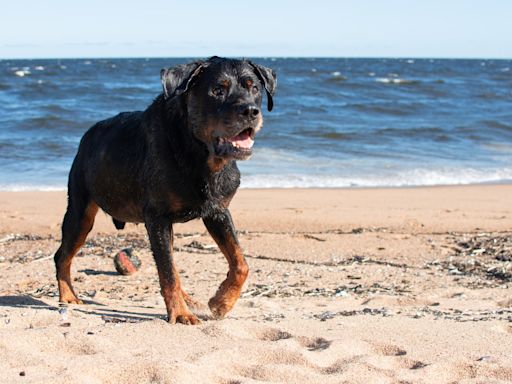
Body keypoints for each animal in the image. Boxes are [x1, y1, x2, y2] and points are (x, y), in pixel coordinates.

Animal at [54, 56, 276, 324]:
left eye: (254, 89)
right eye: (217, 90)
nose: (250, 111)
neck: (199, 153)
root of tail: (87, 136)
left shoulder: (218, 212)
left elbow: (241, 263)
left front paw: (221, 302)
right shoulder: (157, 217)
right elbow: (169, 273)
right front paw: (180, 314)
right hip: (80, 211)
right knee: (62, 255)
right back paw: (67, 296)